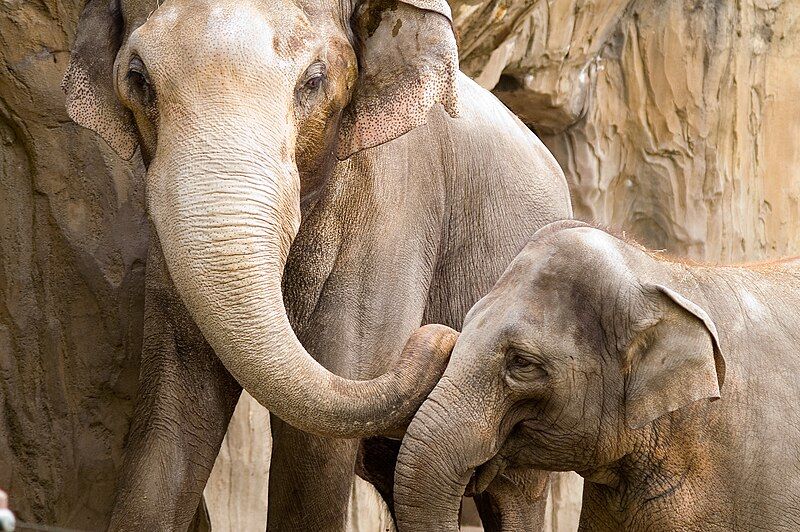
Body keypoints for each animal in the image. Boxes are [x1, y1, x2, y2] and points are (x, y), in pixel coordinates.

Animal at [65, 0, 572, 528]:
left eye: (314, 79)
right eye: (138, 78)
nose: (444, 339)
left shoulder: (392, 210)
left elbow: (314, 447)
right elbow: (172, 416)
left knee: (516, 495)